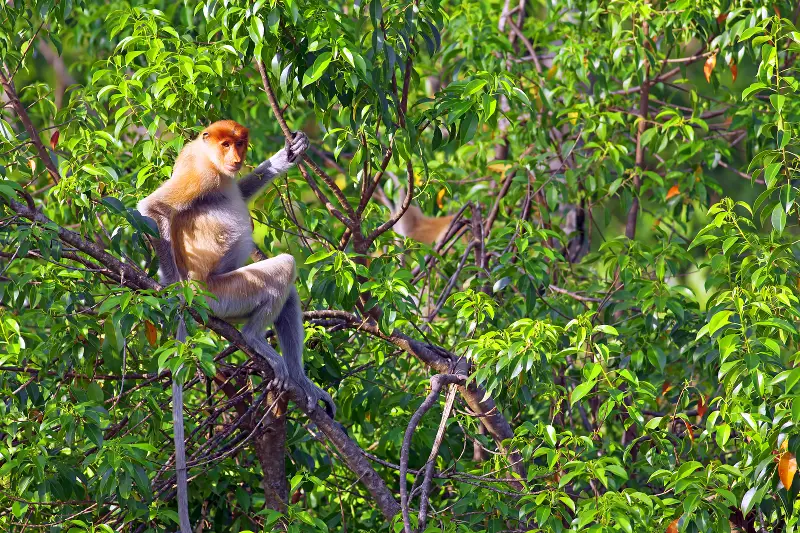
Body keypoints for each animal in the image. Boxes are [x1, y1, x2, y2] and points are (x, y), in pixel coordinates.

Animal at [138, 120, 335, 533]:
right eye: (224, 144)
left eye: (239, 144)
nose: (235, 157)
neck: (206, 154)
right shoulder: (202, 175)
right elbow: (153, 207)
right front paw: (171, 287)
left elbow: (240, 191)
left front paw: (287, 156)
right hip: (222, 294)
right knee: (284, 268)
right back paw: (252, 338)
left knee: (288, 297)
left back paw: (300, 380)